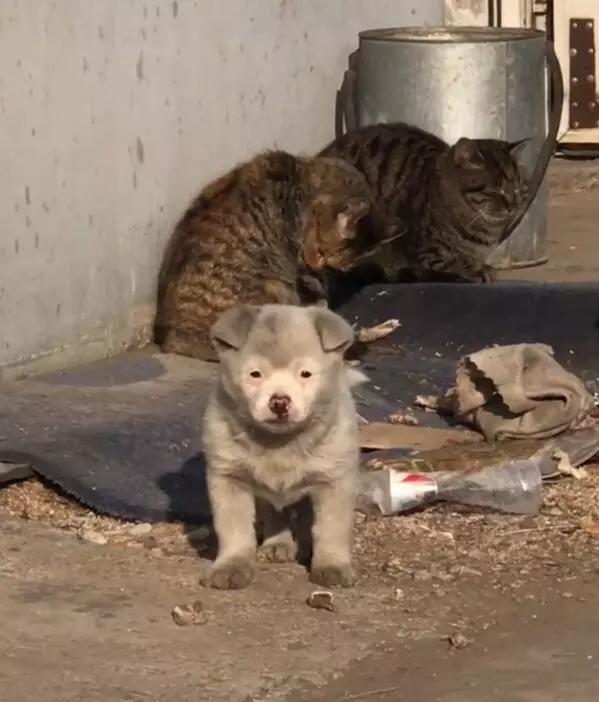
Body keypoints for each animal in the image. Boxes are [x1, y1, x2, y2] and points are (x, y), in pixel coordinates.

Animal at [202, 306, 366, 592]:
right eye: (255, 374)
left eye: (305, 374)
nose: (279, 402)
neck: (280, 442)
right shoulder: (228, 476)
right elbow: (234, 528)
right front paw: (231, 566)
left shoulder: (335, 479)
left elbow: (331, 528)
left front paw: (332, 566)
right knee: (274, 512)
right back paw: (277, 544)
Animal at [318, 122, 528, 284]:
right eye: (497, 190)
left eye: (517, 188)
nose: (514, 206)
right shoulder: (423, 250)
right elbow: (452, 263)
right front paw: (476, 271)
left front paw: (483, 266)